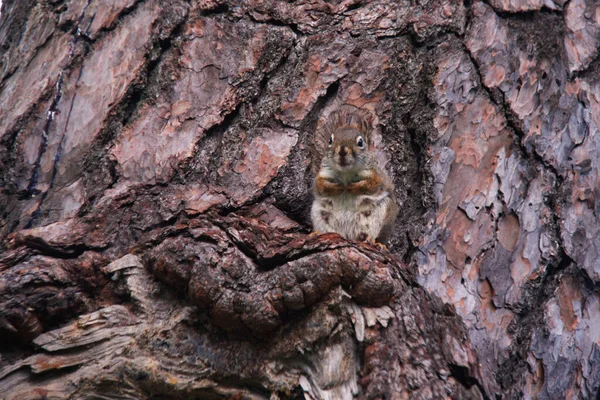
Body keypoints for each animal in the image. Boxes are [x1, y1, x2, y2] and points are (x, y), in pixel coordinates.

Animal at [310, 108, 398, 244]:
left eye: (360, 142)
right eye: (330, 140)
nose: (342, 150)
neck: (346, 172)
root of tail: (348, 234)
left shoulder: (378, 175)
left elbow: (374, 184)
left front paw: (355, 187)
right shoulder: (324, 173)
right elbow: (319, 186)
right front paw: (336, 188)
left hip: (383, 210)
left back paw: (372, 241)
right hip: (318, 213)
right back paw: (318, 233)